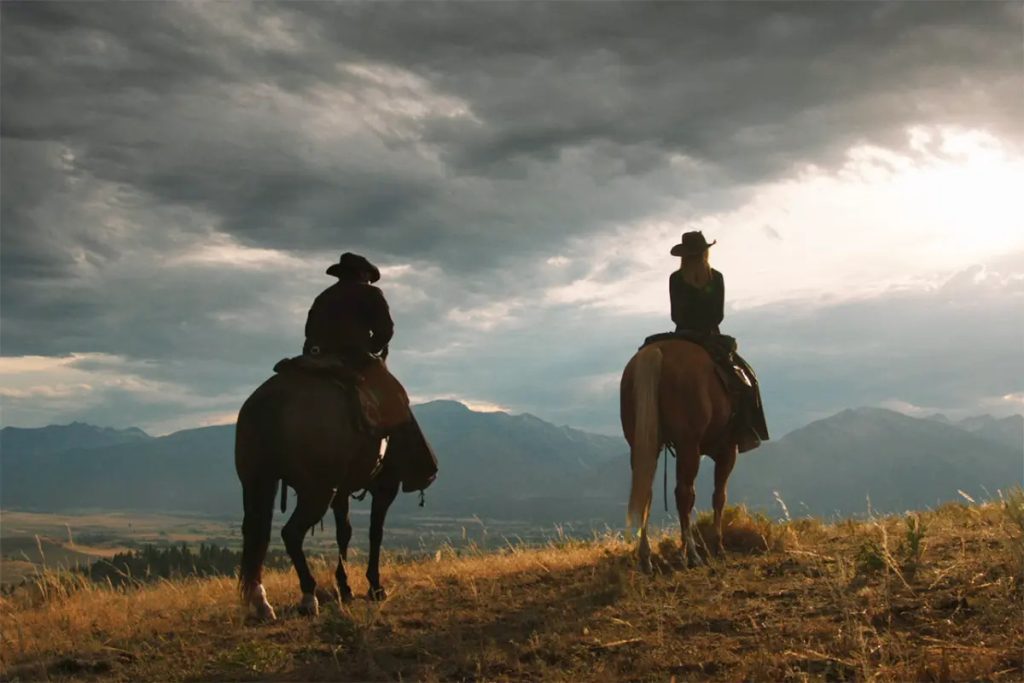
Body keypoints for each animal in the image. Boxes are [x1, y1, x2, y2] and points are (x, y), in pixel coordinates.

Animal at [235, 370, 399, 622]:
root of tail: (271, 400)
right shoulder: (385, 488)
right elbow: (375, 533)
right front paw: (375, 587)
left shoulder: (342, 492)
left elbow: (344, 533)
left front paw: (346, 587)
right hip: (317, 491)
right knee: (291, 533)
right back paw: (308, 597)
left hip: (257, 483)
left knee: (256, 535)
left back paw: (262, 602)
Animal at [614, 339, 737, 573]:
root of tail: (658, 350)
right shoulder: (727, 451)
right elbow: (719, 497)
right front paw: (717, 548)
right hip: (688, 446)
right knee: (683, 494)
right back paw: (692, 556)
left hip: (644, 443)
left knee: (647, 492)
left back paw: (646, 558)